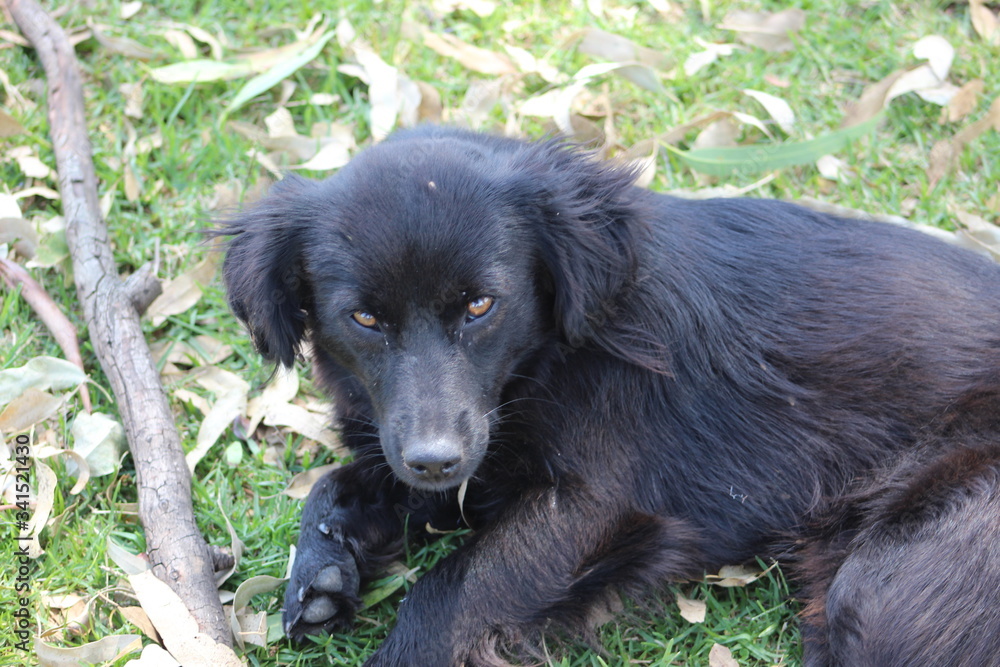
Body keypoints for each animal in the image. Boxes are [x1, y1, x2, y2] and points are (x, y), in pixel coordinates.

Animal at [221, 126, 1000, 667]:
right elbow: (340, 482)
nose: (435, 460)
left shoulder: (595, 502)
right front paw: (320, 570)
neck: (545, 362)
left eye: (479, 305)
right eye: (364, 318)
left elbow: (447, 594)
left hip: (893, 571)